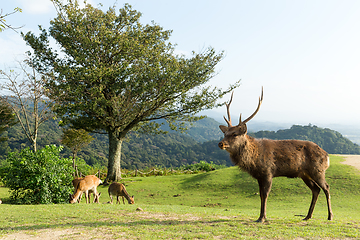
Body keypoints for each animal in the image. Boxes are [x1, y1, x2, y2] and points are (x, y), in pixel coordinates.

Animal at [218, 88, 334, 223]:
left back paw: (330, 216)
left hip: (318, 170)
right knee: (316, 189)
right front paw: (259, 217)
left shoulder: (268, 172)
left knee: (326, 187)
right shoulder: (259, 176)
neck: (254, 160)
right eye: (225, 133)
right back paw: (307, 216)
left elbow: (265, 194)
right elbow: (261, 195)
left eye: (235, 134)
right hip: (304, 174)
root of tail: (327, 156)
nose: (221, 143)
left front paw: (262, 218)